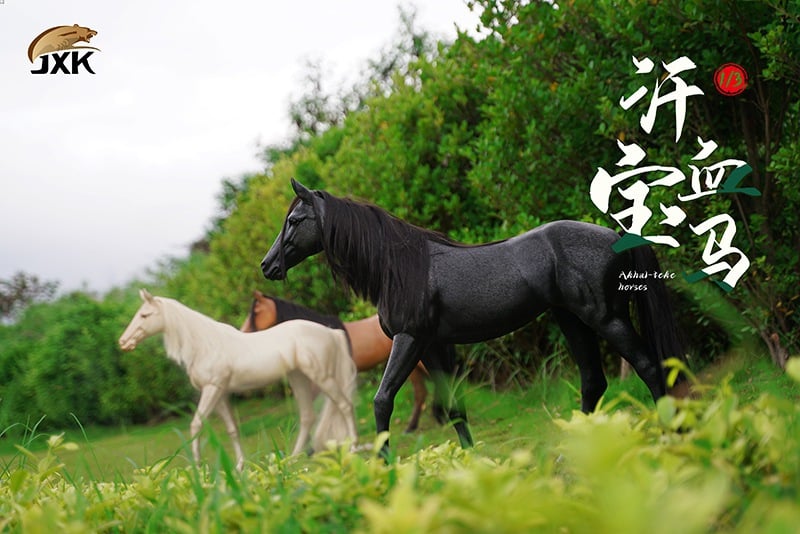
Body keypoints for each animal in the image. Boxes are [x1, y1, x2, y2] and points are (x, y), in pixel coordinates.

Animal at [118, 289, 358, 470]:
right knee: (307, 416)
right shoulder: (220, 394)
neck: (205, 345)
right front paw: (239, 467)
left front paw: (198, 469)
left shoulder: (212, 389)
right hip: (298, 377)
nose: (123, 342)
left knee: (345, 405)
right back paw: (292, 460)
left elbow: (196, 425)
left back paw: (354, 447)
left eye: (145, 315)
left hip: (321, 376)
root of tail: (331, 333)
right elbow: (233, 430)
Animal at [259, 179, 686, 456]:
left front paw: (386, 469)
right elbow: (453, 408)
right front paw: (471, 464)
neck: (400, 268)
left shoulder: (410, 339)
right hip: (572, 320)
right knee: (594, 381)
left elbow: (382, 401)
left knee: (649, 367)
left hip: (606, 317)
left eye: (294, 221)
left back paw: (672, 435)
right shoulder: (433, 346)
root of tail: (617, 235)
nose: (267, 265)